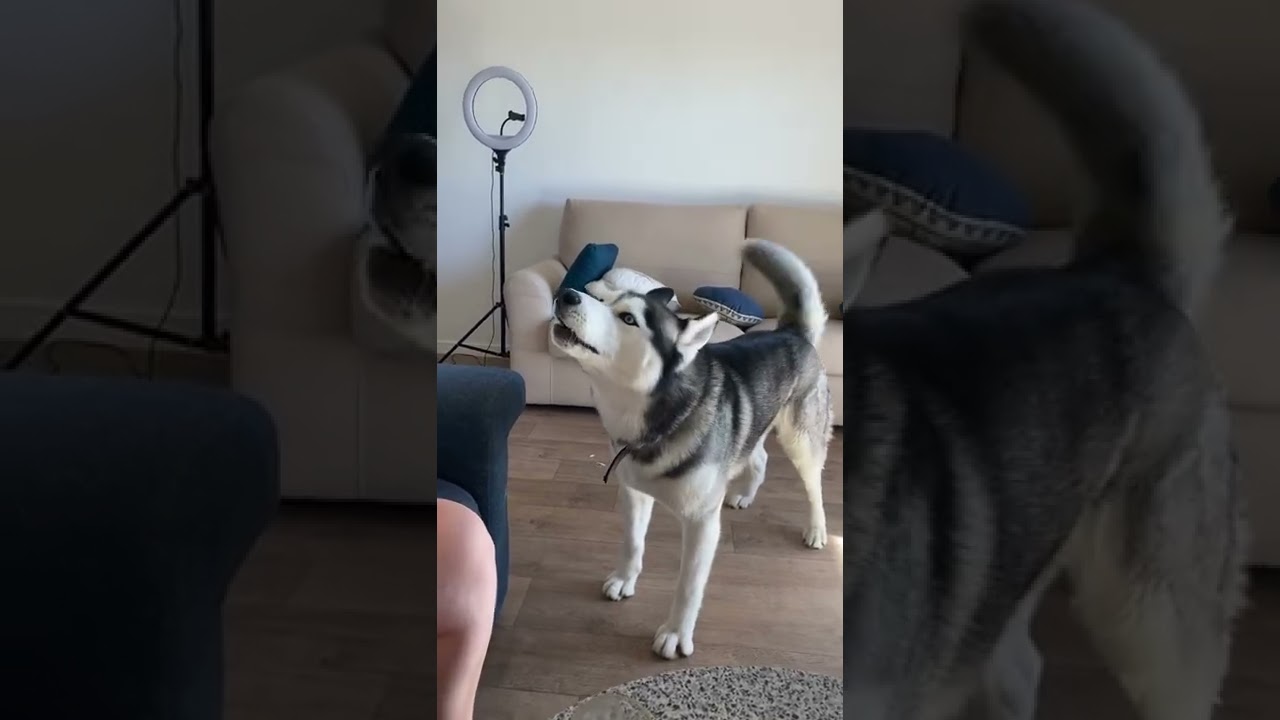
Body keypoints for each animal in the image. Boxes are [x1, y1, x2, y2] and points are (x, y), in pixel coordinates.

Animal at [550, 239, 834, 660]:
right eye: (599, 297)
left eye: (629, 319)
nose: (566, 294)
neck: (658, 416)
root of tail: (793, 332)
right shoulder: (633, 492)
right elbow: (632, 542)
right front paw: (624, 579)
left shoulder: (701, 522)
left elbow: (688, 585)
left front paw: (675, 633)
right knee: (759, 456)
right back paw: (745, 495)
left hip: (801, 439)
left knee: (814, 485)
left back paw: (816, 529)